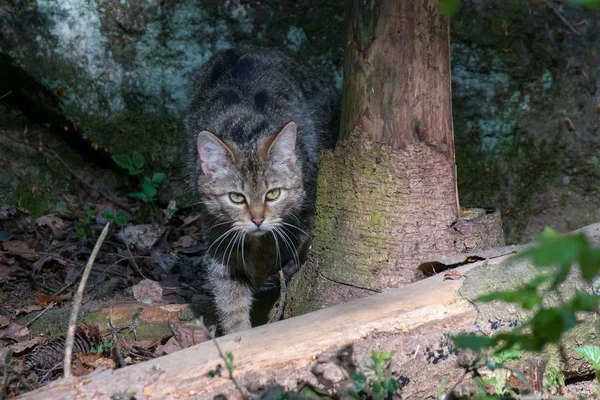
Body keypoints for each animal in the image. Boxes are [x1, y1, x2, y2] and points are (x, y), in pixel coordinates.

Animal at [180, 46, 340, 334]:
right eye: (236, 197)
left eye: (273, 194)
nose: (257, 219)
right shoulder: (218, 236)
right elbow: (230, 299)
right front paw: (240, 334)